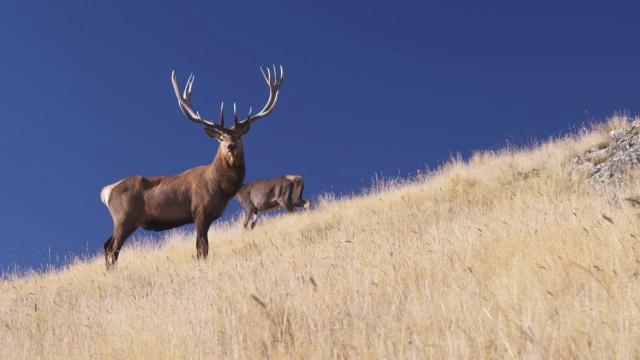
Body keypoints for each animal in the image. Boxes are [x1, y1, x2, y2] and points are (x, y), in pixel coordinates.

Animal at [100, 66, 284, 268]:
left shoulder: (209, 216)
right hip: (124, 217)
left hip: (124, 220)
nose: (230, 146)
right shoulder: (199, 211)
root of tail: (106, 192)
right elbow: (202, 248)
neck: (220, 186)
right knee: (113, 248)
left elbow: (203, 248)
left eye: (238, 136)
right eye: (221, 138)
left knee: (106, 245)